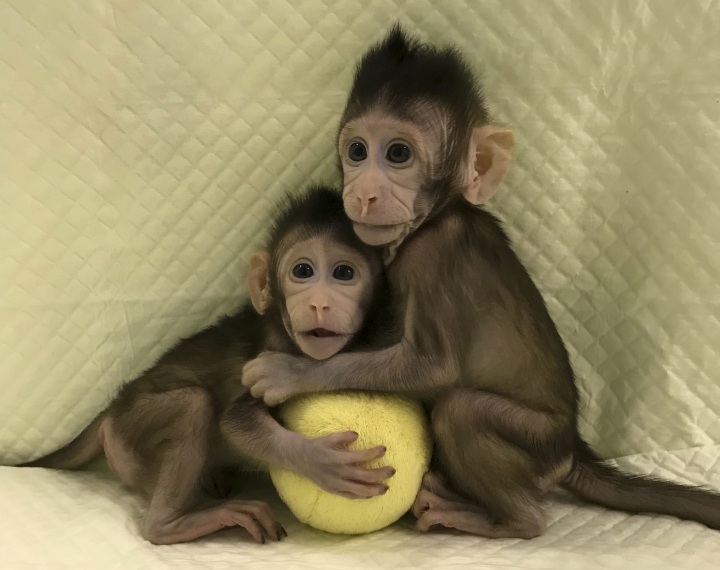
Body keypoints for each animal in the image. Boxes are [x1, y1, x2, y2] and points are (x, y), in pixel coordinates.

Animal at [20, 185, 397, 545]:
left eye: (344, 273)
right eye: (303, 271)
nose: (319, 304)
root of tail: (113, 409)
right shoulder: (267, 354)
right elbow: (235, 422)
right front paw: (320, 461)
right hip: (131, 428)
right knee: (193, 404)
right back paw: (170, 524)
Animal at [241, 26, 720, 539]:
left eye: (398, 153)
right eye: (357, 151)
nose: (364, 193)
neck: (439, 214)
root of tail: (570, 448)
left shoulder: (434, 255)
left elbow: (432, 368)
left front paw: (289, 372)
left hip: (535, 442)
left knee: (462, 412)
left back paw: (499, 517)